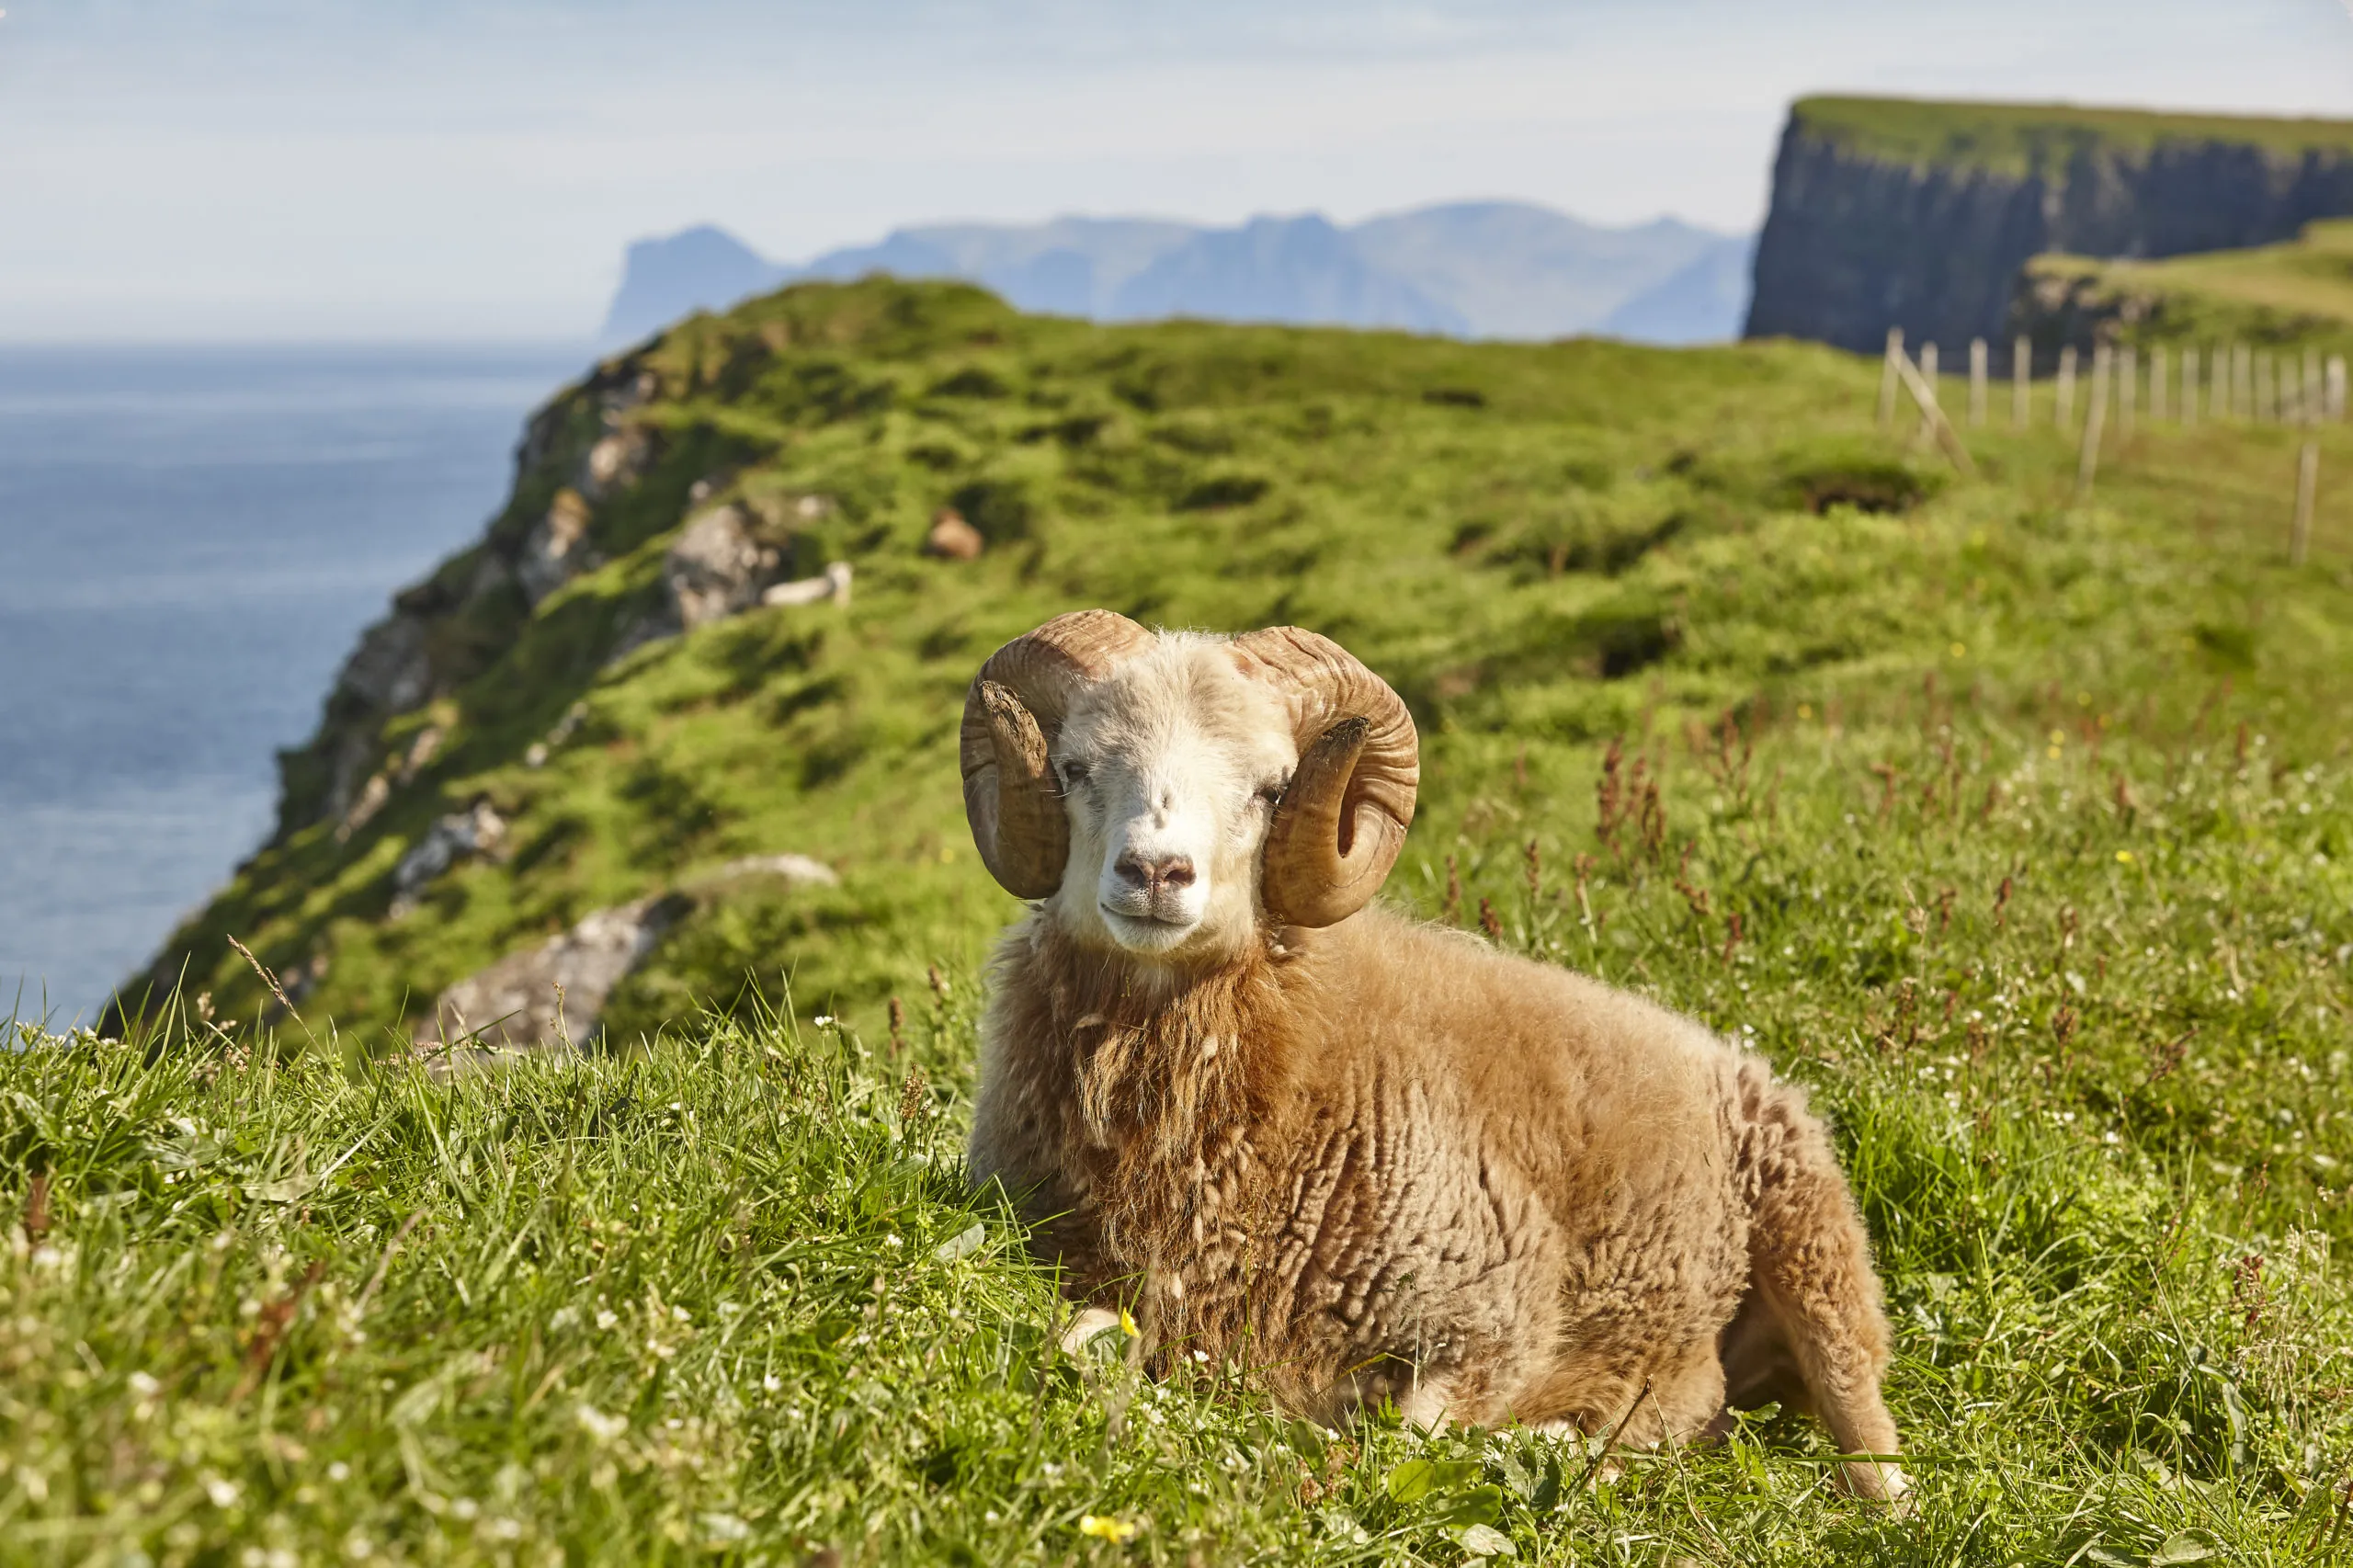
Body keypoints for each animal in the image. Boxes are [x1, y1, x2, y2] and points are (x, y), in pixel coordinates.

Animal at [961, 610, 1906, 1500]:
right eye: (1076, 769)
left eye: (1270, 788)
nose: (1156, 873)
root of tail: (1724, 1049)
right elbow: (1074, 1335)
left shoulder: (1495, 1313)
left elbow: (1408, 1440)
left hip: (1820, 1262)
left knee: (1864, 1447)